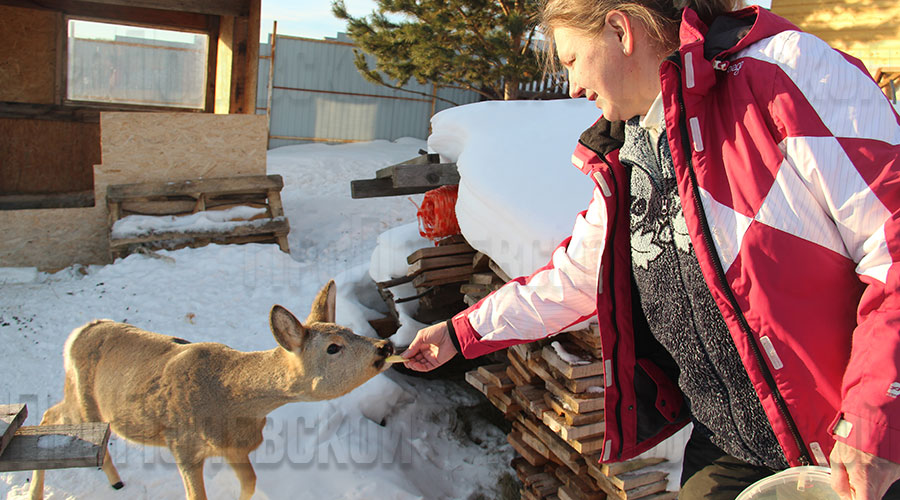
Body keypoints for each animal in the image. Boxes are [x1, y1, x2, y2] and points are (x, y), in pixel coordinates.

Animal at [29, 282, 394, 500]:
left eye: (349, 329)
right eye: (333, 347)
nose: (385, 346)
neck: (230, 400)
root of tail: (78, 332)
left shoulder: (236, 447)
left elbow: (249, 484)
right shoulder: (182, 445)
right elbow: (197, 495)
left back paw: (113, 480)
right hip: (84, 402)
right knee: (48, 415)